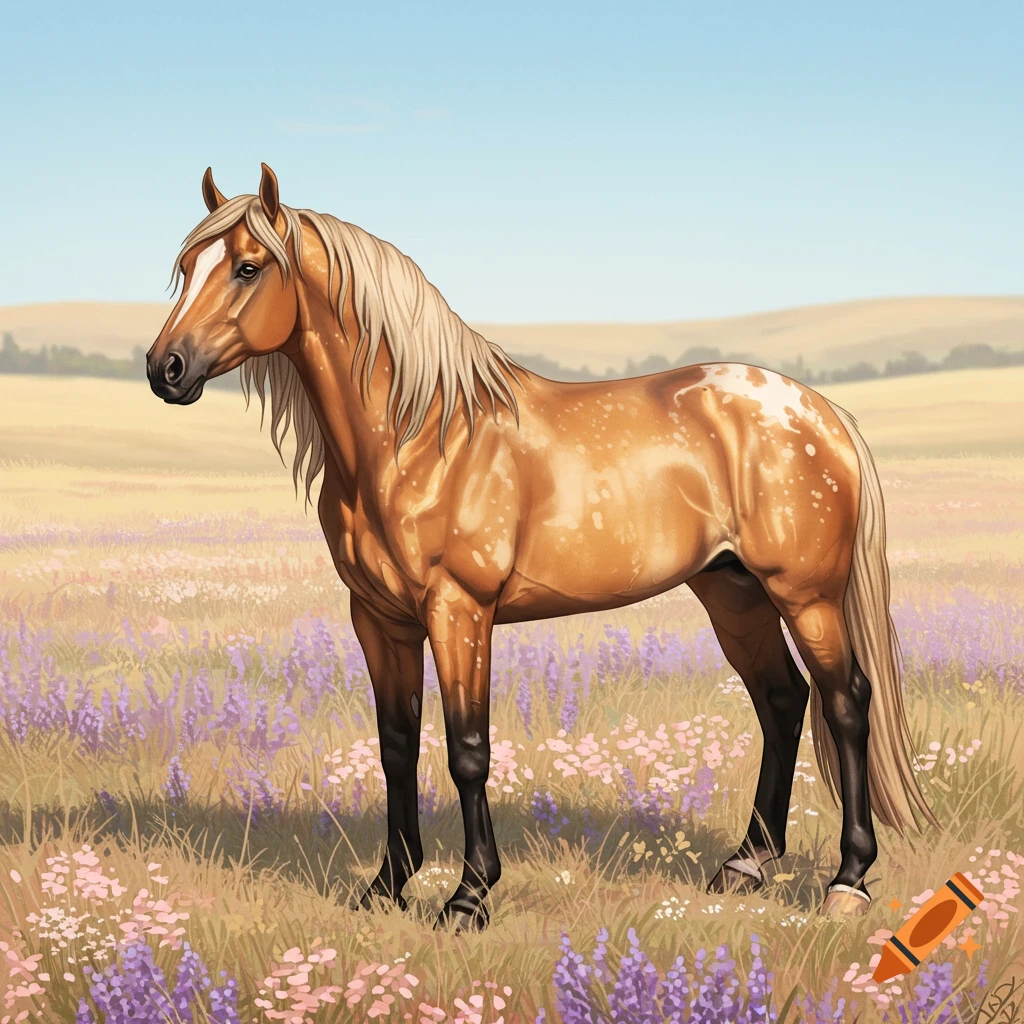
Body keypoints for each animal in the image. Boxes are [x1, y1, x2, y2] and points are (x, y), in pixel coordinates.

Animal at [146, 163, 936, 933]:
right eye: (185, 267)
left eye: (248, 268)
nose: (166, 369)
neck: (418, 437)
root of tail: (817, 409)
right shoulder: (378, 619)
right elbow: (396, 745)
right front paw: (387, 885)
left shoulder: (459, 612)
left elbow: (467, 751)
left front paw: (469, 898)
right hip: (731, 591)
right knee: (781, 699)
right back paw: (745, 865)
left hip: (806, 596)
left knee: (845, 703)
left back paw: (848, 881)